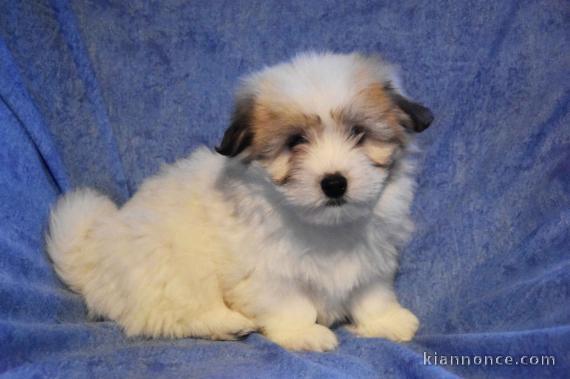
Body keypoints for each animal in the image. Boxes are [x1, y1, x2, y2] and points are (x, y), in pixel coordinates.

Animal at [47, 51, 430, 354]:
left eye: (358, 133)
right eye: (295, 141)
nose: (334, 183)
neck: (325, 227)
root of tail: (93, 259)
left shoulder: (373, 259)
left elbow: (371, 293)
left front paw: (385, 321)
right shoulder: (265, 273)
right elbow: (290, 303)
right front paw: (303, 333)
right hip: (174, 266)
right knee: (166, 315)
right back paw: (226, 324)